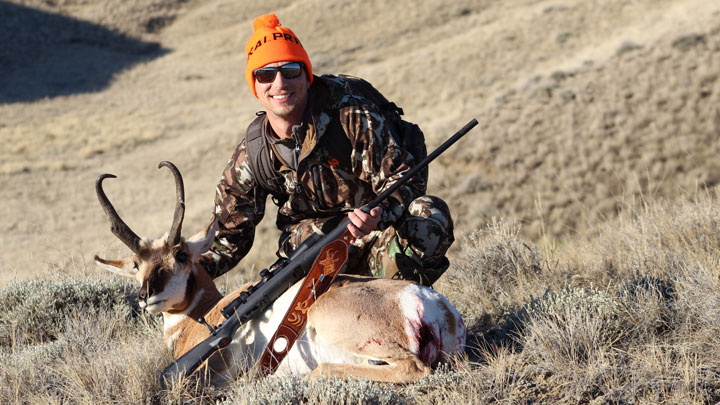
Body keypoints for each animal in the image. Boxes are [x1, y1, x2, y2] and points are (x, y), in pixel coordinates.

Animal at [95, 162, 466, 386]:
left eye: (181, 255)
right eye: (137, 265)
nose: (146, 297)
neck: (205, 317)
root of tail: (431, 303)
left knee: (408, 368)